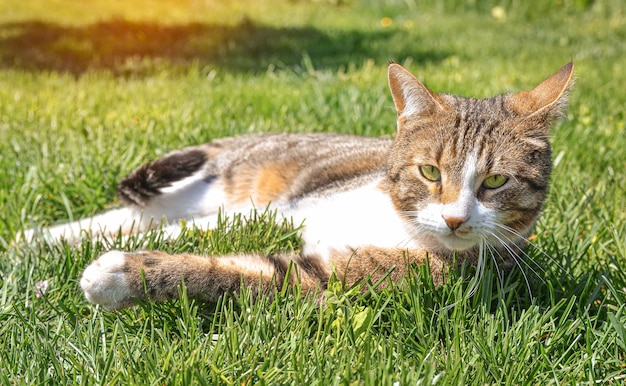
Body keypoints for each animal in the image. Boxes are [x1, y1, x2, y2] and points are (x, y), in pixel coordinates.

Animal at [23, 61, 572, 310]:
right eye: (430, 172)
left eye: (495, 181)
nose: (456, 219)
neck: (397, 223)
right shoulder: (284, 210)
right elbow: (195, 233)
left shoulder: (331, 278)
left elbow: (231, 272)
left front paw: (116, 274)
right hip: (216, 187)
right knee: (140, 216)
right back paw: (39, 238)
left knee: (143, 219)